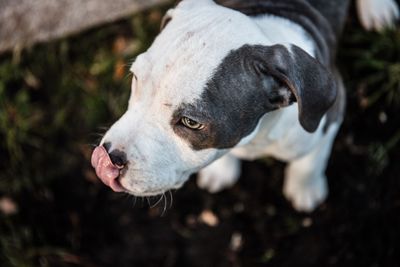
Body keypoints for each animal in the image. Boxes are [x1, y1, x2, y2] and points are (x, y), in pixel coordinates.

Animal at [91, 0, 400, 214]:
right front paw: (220, 171)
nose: (108, 158)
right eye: (136, 79)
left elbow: (310, 161)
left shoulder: (330, 113)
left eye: (191, 123)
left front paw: (305, 189)